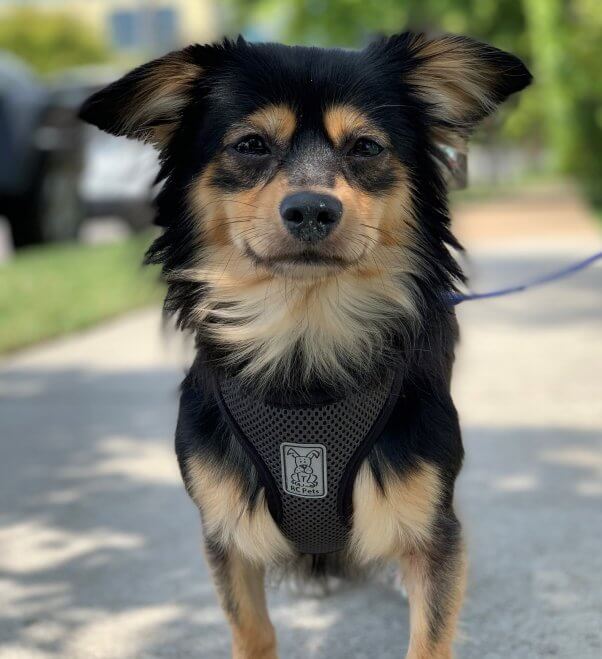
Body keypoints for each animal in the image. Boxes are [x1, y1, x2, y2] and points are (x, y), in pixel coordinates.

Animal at [79, 32, 528, 659]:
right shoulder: (227, 531)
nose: (312, 208)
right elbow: (252, 629)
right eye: (250, 145)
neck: (304, 343)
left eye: (365, 147)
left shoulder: (429, 519)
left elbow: (430, 631)